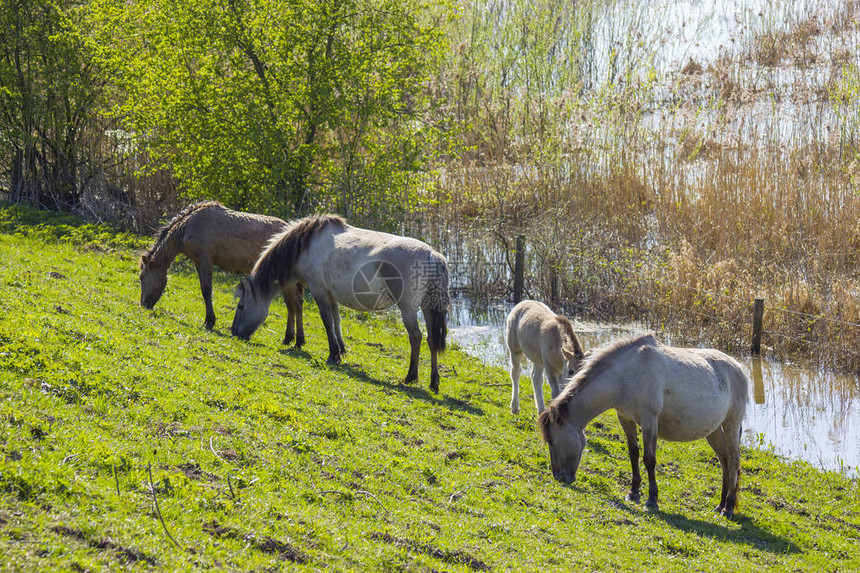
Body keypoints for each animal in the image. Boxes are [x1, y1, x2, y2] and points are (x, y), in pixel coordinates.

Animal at [139, 201, 306, 344]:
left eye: (141, 277)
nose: (143, 304)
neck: (187, 226)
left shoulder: (205, 261)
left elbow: (206, 291)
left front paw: (209, 321)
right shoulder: (198, 263)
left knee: (297, 303)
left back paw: (299, 341)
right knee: (290, 305)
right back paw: (287, 338)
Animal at [232, 214, 454, 394]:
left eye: (241, 306)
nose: (234, 333)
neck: (306, 245)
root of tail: (432, 255)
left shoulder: (319, 291)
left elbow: (326, 320)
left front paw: (333, 354)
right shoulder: (331, 294)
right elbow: (336, 319)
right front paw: (341, 348)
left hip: (408, 308)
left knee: (416, 337)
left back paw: (411, 376)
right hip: (427, 307)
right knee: (432, 339)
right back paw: (434, 383)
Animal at [540, 332, 748, 516]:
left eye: (552, 441)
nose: (559, 477)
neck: (625, 375)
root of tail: (739, 368)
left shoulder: (649, 422)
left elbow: (649, 459)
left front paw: (652, 499)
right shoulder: (625, 418)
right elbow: (633, 453)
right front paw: (633, 493)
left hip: (731, 424)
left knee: (734, 460)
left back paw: (728, 508)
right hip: (713, 431)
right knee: (724, 461)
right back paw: (720, 505)